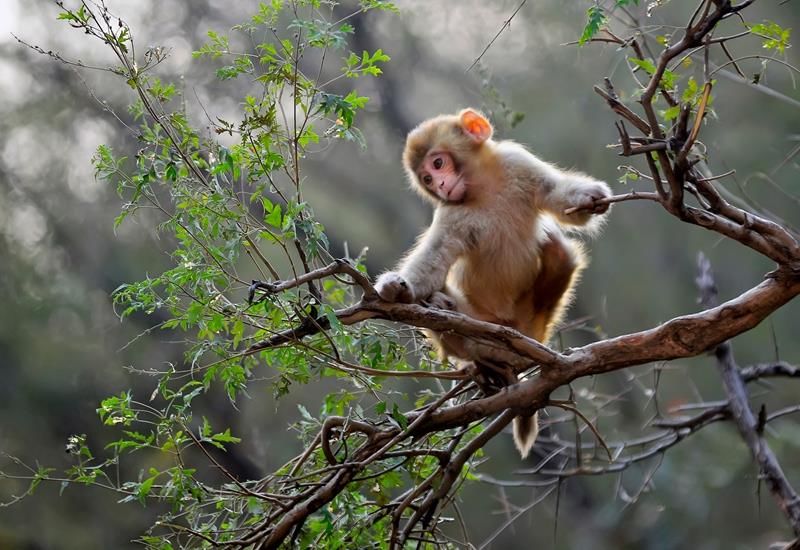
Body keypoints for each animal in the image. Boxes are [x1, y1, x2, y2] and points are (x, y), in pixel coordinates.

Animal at [376, 109, 612, 462]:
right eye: (428, 179)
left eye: (437, 164)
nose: (441, 185)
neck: (484, 188)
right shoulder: (452, 213)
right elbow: (433, 265)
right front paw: (398, 288)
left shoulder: (517, 162)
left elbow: (557, 198)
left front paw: (587, 197)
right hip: (484, 329)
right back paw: (467, 343)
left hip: (533, 325)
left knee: (559, 250)